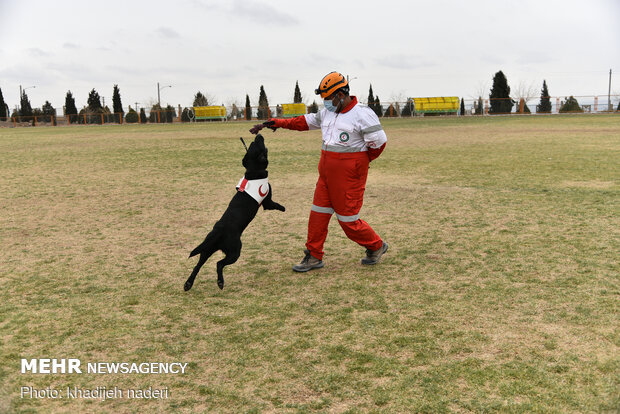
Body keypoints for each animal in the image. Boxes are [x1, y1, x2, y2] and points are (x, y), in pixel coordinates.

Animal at [182, 134, 284, 290]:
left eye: (253, 144)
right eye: (259, 144)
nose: (259, 135)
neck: (253, 172)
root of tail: (219, 230)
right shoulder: (267, 202)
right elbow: (276, 204)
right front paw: (284, 208)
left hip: (206, 249)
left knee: (197, 266)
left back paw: (188, 284)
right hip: (235, 251)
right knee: (219, 264)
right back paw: (220, 282)